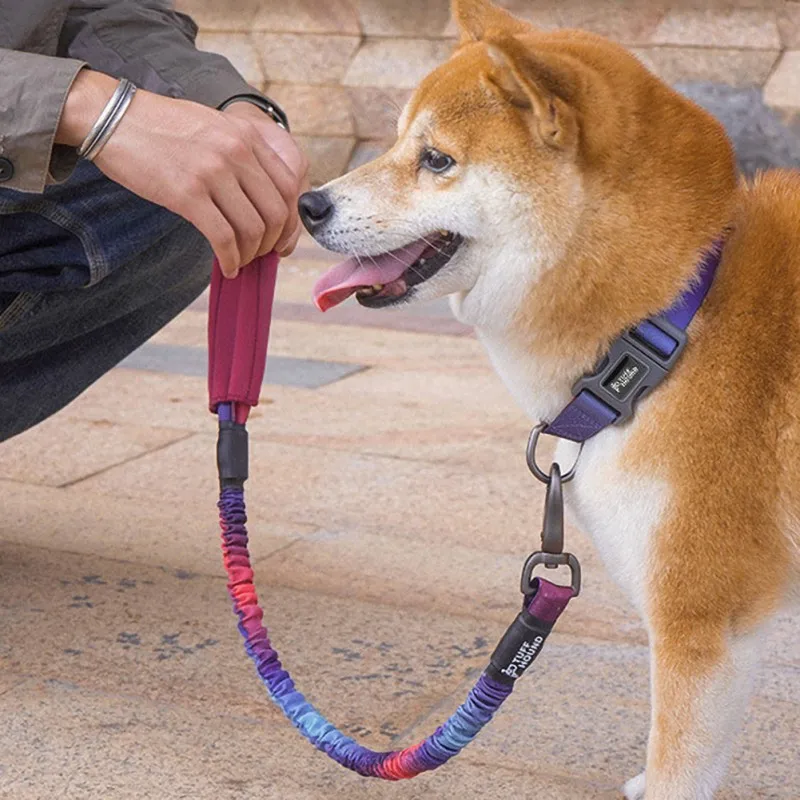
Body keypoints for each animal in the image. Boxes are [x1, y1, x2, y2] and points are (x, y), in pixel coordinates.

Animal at [296, 3, 796, 796]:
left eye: (436, 158)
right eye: (398, 139)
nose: (308, 203)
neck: (669, 325)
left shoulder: (700, 615)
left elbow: (679, 760)